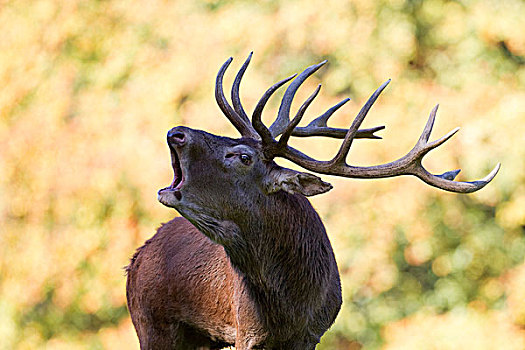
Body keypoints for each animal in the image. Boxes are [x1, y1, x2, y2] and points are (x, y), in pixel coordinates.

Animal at [125, 52, 498, 350]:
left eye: (243, 156)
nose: (176, 132)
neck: (289, 303)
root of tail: (137, 256)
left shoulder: (312, 333)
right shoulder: (246, 330)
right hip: (150, 321)